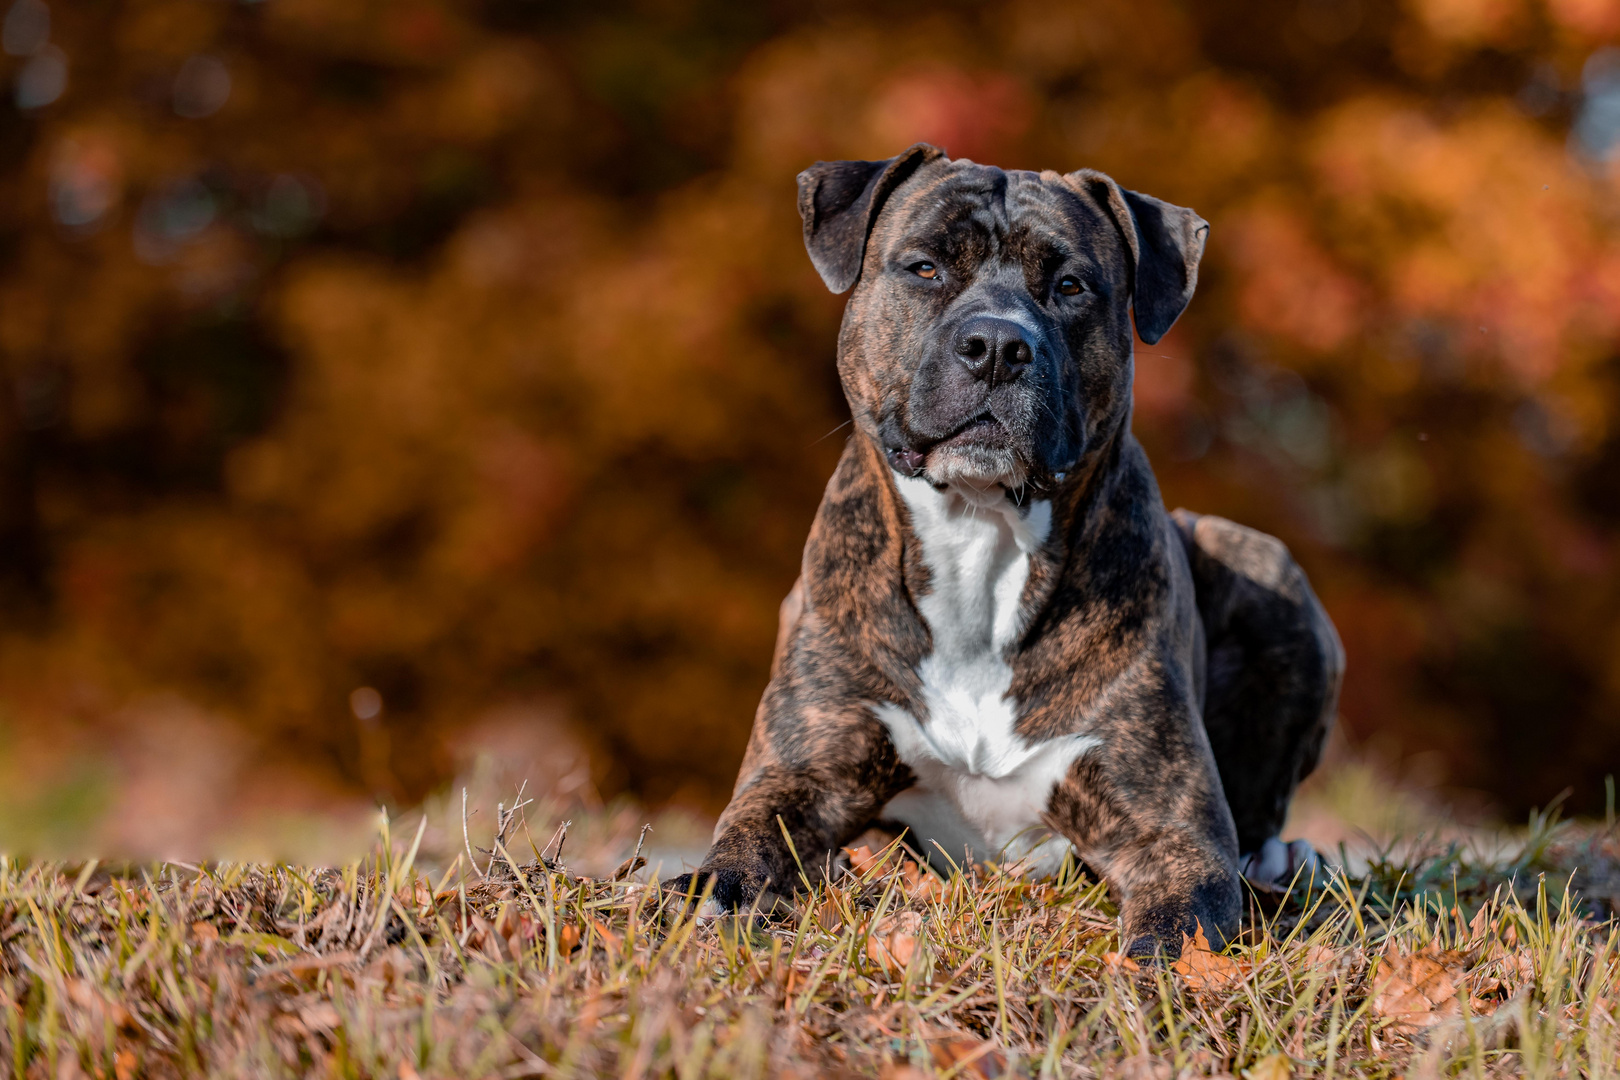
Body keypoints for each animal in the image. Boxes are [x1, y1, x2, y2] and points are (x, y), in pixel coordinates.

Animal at [670, 145, 1341, 965]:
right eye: (925, 267)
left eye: (1071, 285)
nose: (997, 344)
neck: (980, 544)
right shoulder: (801, 772)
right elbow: (743, 846)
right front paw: (706, 899)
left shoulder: (1171, 830)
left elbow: (1176, 928)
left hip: (1265, 567)